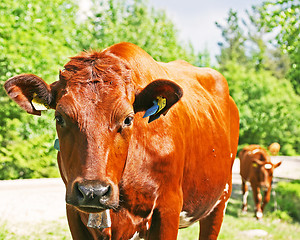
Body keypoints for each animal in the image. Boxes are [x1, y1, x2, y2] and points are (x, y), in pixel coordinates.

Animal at [4, 42, 239, 239]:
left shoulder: (168, 209)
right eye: (59, 117)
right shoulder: (74, 213)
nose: (93, 191)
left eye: (128, 119)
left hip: (220, 200)